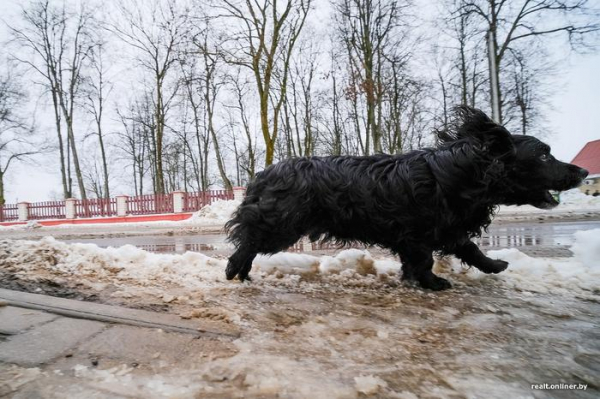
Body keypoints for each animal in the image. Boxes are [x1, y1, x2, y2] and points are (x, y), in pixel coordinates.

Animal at [224, 108, 584, 292]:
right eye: (544, 155)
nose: (581, 171)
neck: (460, 172)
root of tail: (264, 173)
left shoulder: (443, 227)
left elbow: (469, 247)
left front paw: (494, 264)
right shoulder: (418, 231)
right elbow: (425, 259)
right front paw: (433, 283)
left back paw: (243, 274)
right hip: (281, 223)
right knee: (247, 243)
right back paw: (234, 272)